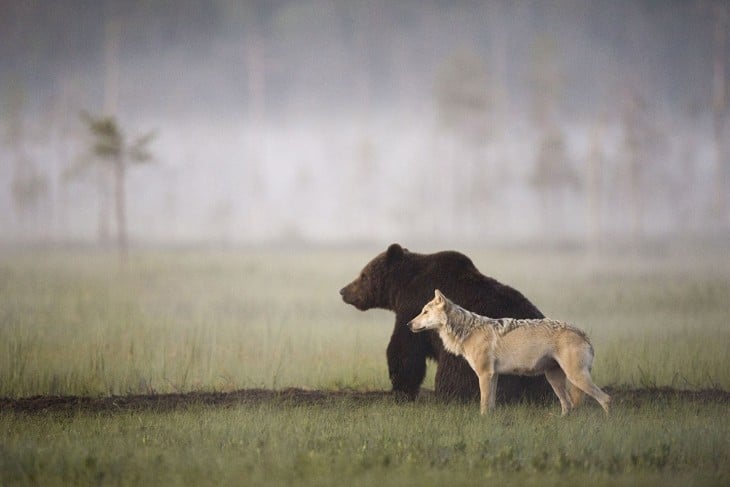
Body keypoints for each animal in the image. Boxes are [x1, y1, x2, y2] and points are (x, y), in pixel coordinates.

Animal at [338, 244, 548, 404]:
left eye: (363, 275)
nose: (343, 290)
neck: (403, 286)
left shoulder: (413, 308)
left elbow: (405, 350)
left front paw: (401, 389)